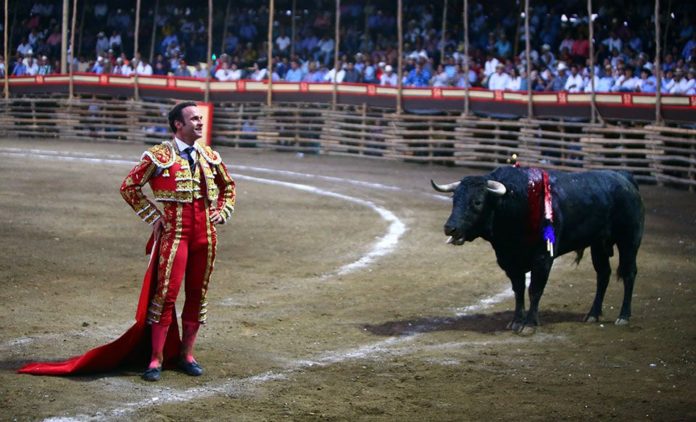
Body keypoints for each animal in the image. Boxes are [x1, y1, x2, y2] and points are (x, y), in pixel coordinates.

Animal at [432, 166, 644, 334]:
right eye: (454, 200)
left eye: (477, 202)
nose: (450, 228)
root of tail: (624, 177)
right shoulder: (510, 260)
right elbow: (518, 290)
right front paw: (516, 321)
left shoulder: (542, 258)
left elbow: (535, 289)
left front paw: (529, 324)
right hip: (598, 245)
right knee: (603, 275)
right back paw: (593, 314)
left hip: (629, 241)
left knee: (629, 274)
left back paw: (623, 316)